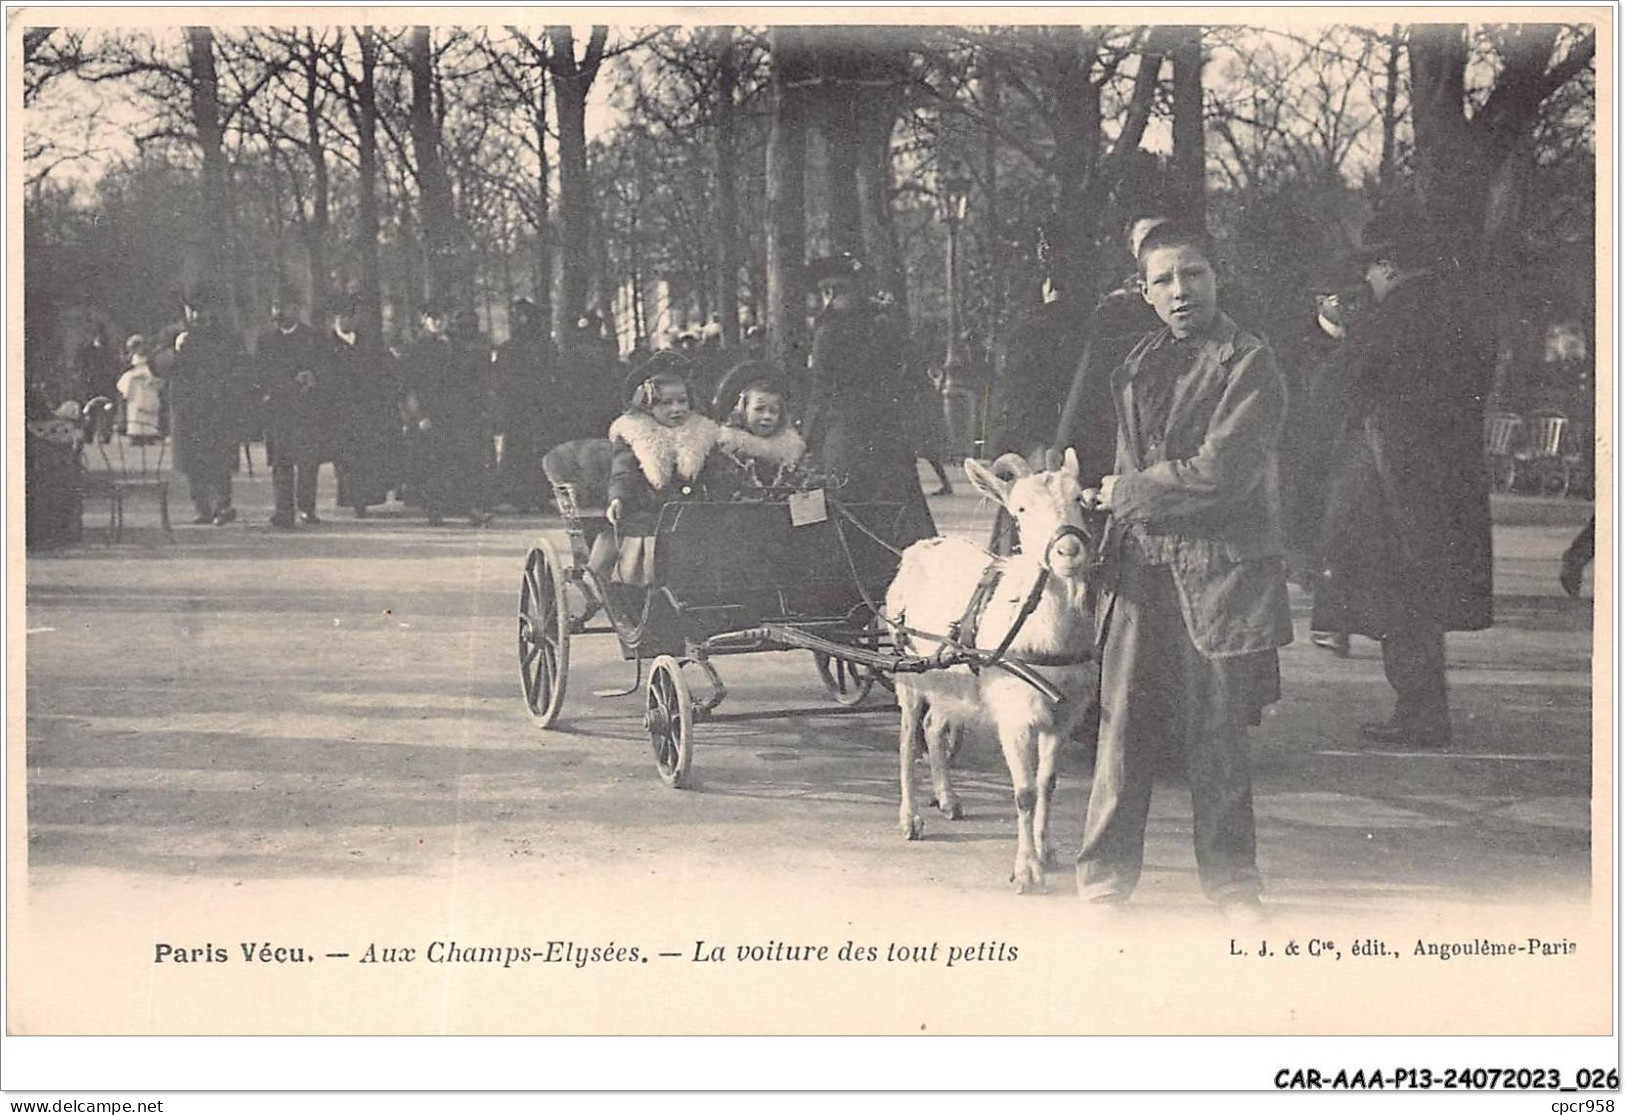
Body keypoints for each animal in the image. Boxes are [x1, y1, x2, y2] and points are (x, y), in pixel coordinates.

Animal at [884, 448, 1098, 897]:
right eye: (1021, 509)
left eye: (1079, 499)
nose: (1069, 551)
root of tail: (918, 548)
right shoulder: (1015, 716)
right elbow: (1025, 792)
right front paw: (1027, 871)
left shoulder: (1065, 715)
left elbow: (1048, 783)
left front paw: (1046, 849)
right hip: (907, 669)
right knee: (909, 737)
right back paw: (910, 818)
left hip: (953, 678)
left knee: (933, 726)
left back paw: (948, 799)